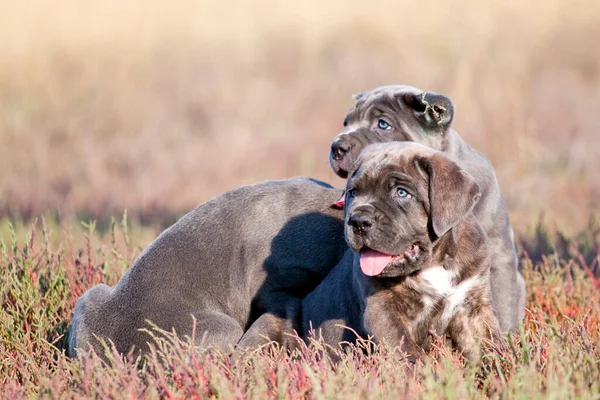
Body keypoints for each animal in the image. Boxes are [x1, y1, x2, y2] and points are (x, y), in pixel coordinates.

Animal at [302, 142, 500, 360]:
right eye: (353, 193)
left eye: (402, 193)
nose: (358, 221)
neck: (435, 262)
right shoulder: (383, 312)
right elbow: (407, 354)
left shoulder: (472, 308)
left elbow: (489, 348)